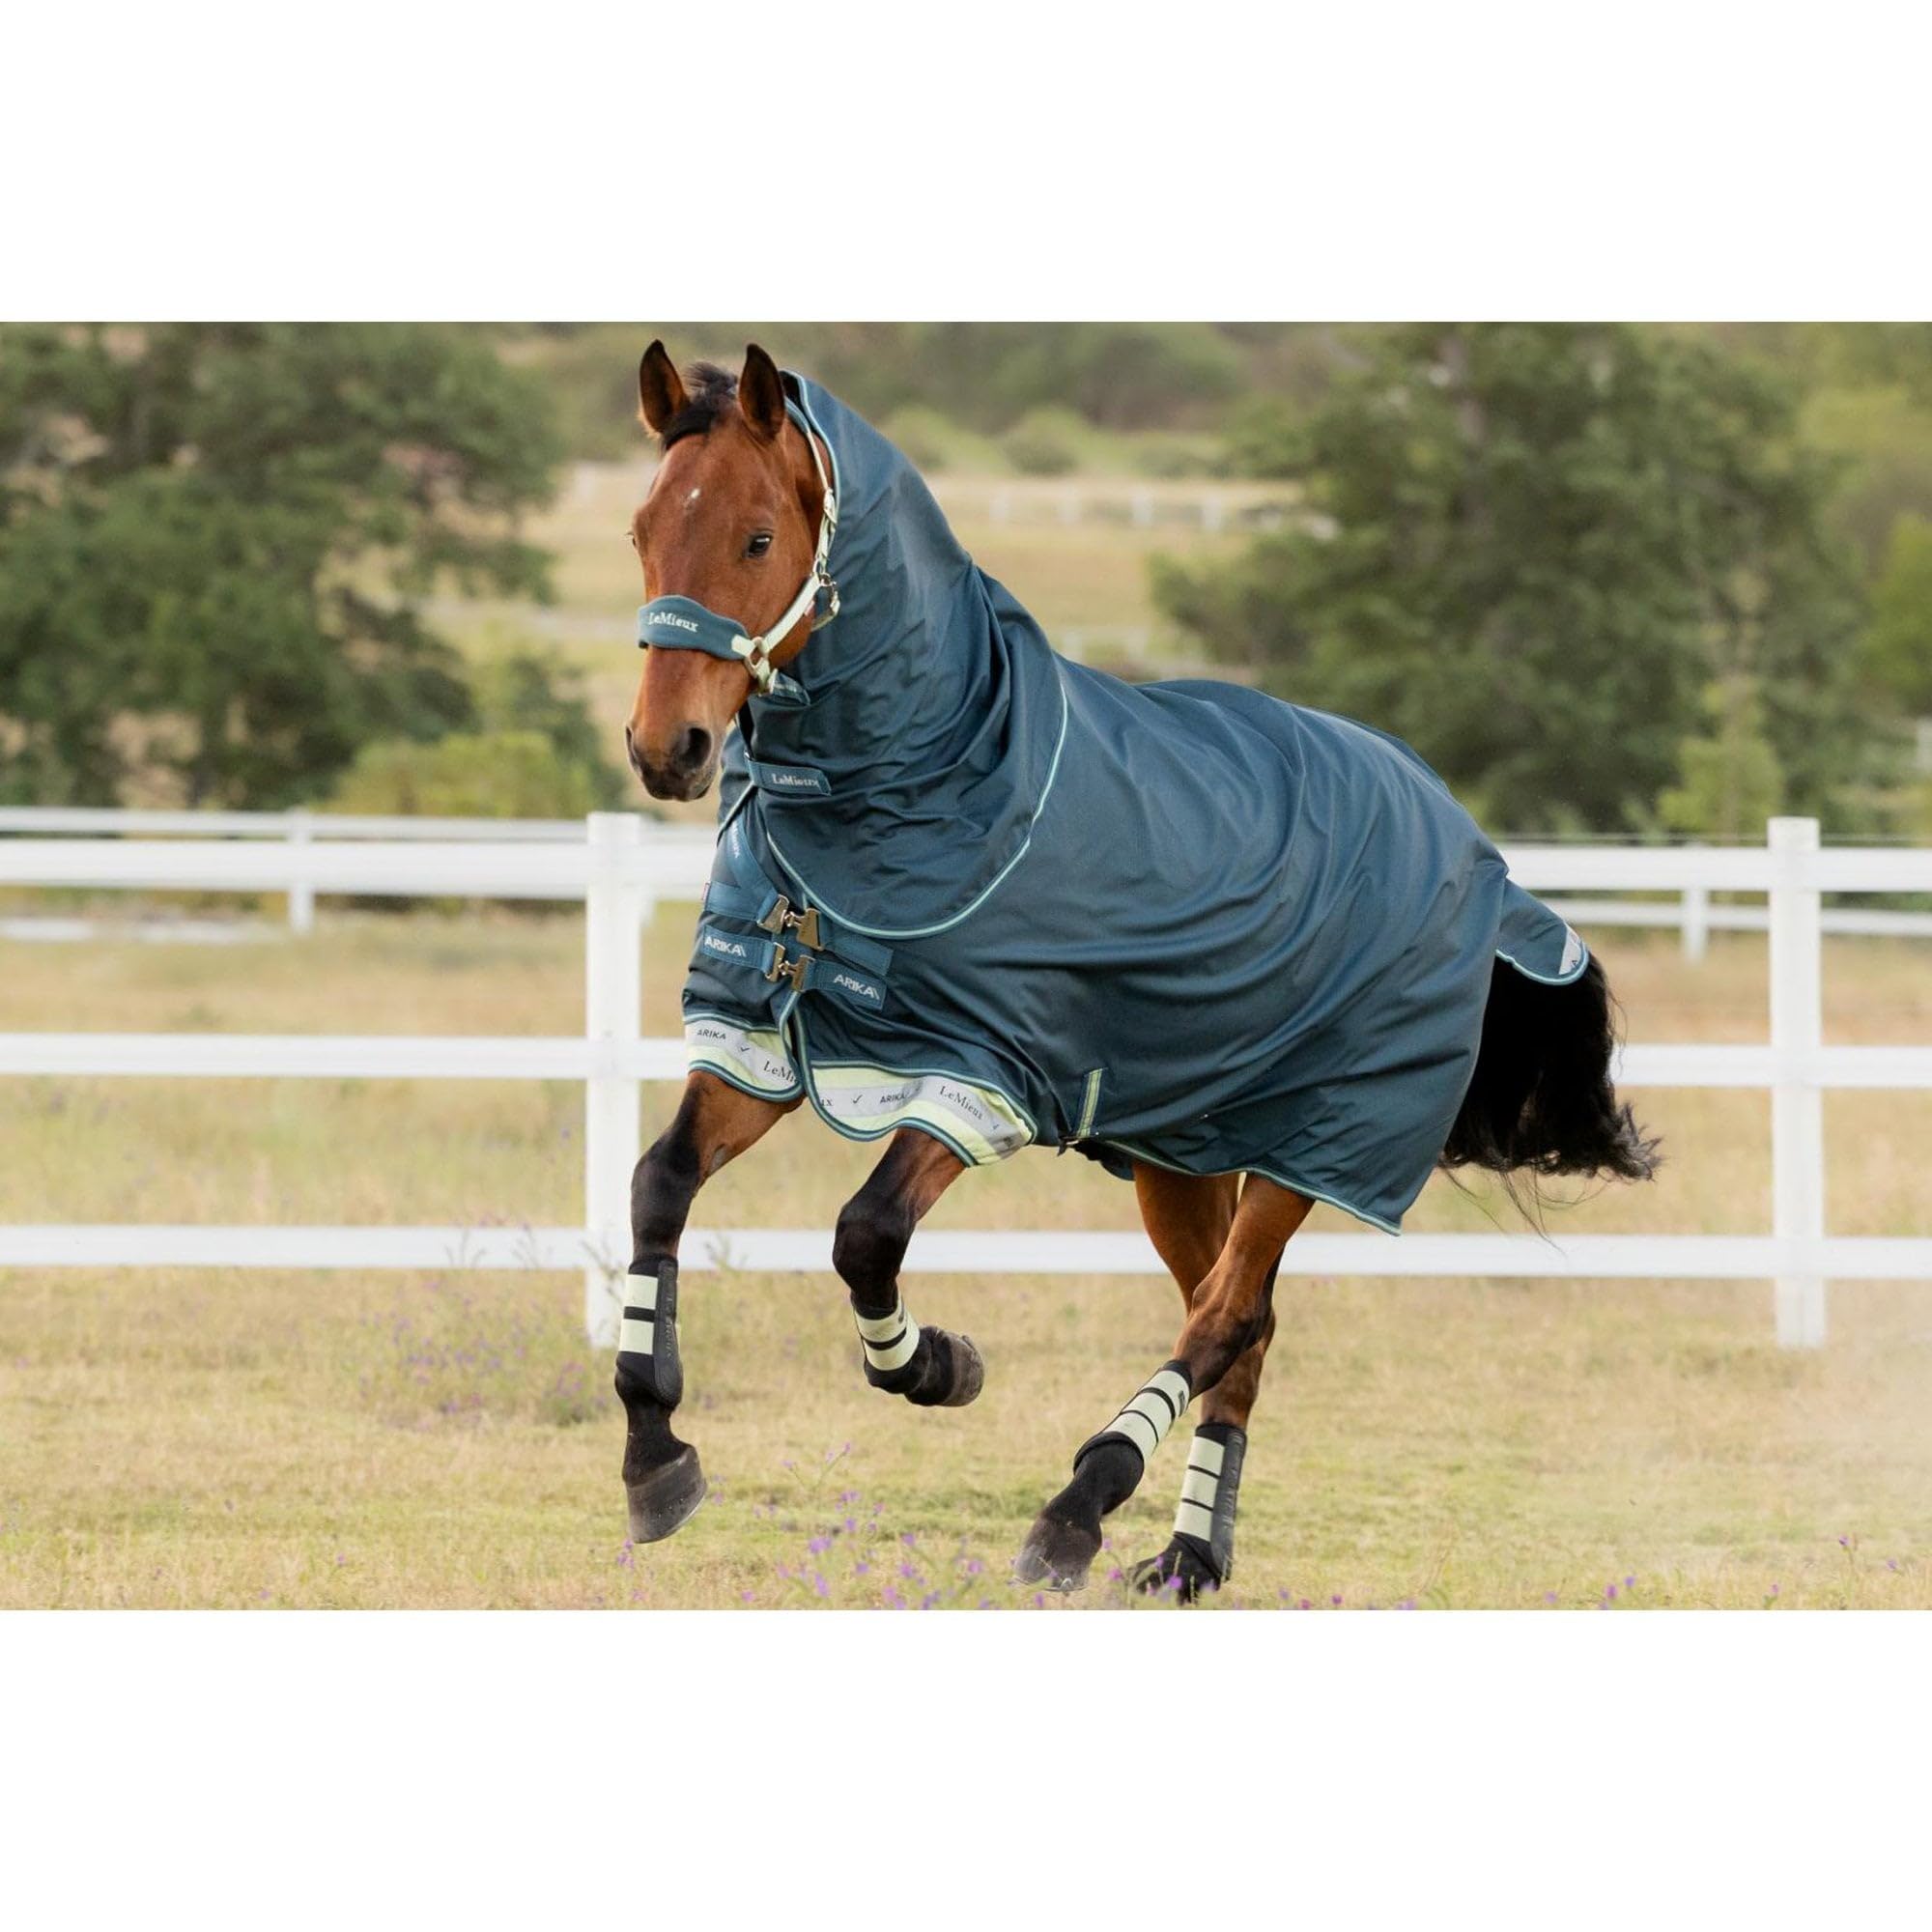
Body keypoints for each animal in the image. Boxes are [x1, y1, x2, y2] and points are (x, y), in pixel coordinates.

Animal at [617, 340, 1657, 1598]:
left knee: (1220, 1322)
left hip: (1312, 1146)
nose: (665, 749)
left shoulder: (982, 1074)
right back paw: (1186, 1554)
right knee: (1241, 1331)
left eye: (758, 538)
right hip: (1183, 1150)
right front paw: (655, 1452)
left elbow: (864, 1232)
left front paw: (938, 1364)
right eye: (640, 530)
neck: (938, 781)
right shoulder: (763, 1042)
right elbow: (661, 1183)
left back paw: (1079, 1505)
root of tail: (1465, 839)